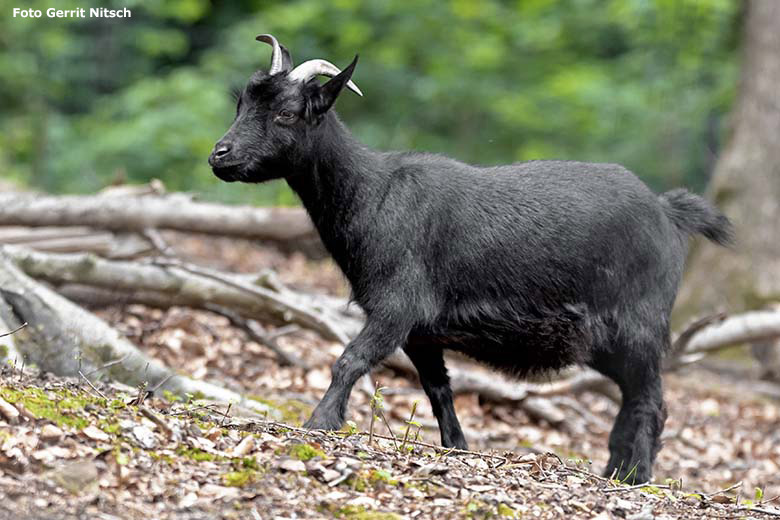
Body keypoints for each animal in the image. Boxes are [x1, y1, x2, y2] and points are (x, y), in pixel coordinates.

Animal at [207, 35, 732, 484]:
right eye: (241, 103)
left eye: (287, 113)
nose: (220, 155)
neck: (372, 195)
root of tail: (668, 212)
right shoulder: (421, 330)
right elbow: (438, 388)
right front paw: (456, 446)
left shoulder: (398, 306)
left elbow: (350, 359)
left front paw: (320, 422)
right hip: (606, 342)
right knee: (633, 397)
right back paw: (616, 470)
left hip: (639, 324)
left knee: (650, 400)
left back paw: (636, 475)